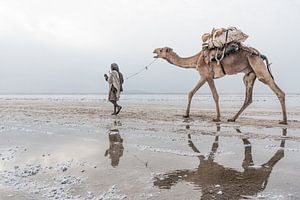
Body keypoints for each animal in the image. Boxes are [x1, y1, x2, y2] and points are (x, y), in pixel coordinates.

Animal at [154, 44, 288, 124]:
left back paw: (284, 121)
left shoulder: (208, 75)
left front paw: (217, 118)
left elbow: (215, 95)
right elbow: (191, 92)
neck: (196, 59)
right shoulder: (203, 76)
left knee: (277, 89)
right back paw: (232, 118)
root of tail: (260, 54)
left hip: (258, 67)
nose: (154, 50)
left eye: (161, 50)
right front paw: (186, 115)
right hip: (250, 74)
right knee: (248, 98)